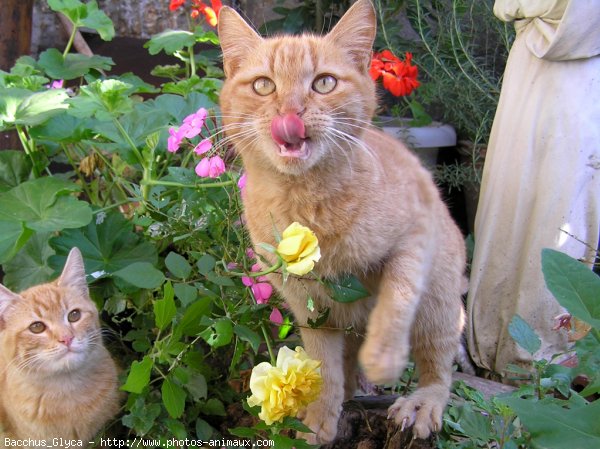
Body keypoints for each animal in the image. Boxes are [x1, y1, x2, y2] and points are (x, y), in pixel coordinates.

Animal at [218, 0, 466, 442]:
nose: (291, 113)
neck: (305, 205)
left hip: (438, 298)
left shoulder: (417, 236)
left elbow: (397, 296)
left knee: (438, 363)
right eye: (263, 86)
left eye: (324, 83)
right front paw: (318, 418)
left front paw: (383, 357)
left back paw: (422, 402)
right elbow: (324, 366)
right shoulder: (309, 307)